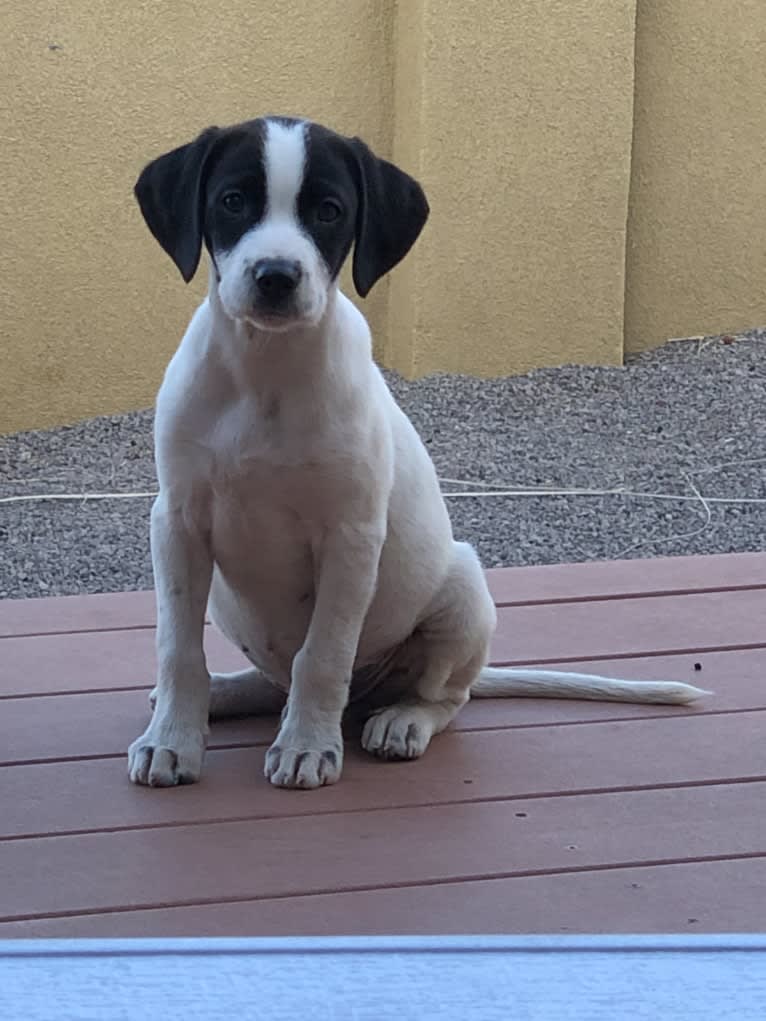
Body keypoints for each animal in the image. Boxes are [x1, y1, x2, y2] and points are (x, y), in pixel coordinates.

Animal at [129, 117, 710, 788]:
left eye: (329, 211)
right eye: (232, 201)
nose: (276, 275)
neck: (265, 375)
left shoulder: (351, 538)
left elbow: (322, 655)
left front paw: (306, 745)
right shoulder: (177, 522)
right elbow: (178, 649)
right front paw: (172, 740)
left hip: (465, 592)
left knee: (443, 697)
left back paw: (401, 720)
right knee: (270, 683)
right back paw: (223, 692)